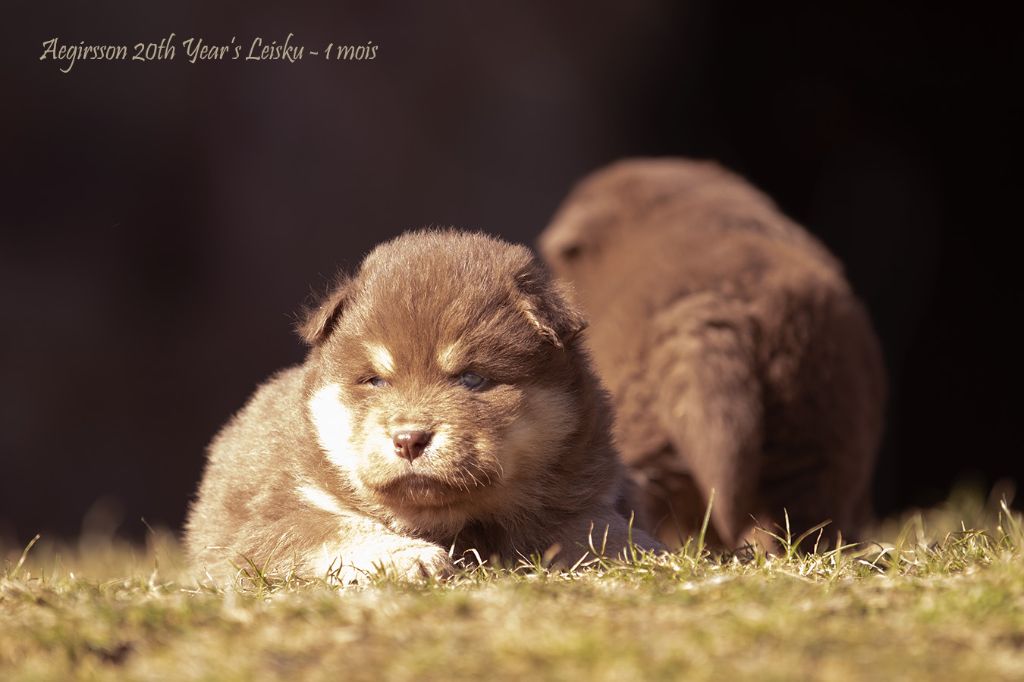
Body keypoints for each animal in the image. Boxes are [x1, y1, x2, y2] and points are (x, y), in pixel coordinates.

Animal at [185, 229, 659, 583]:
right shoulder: (266, 524)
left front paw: (644, 550)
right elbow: (333, 528)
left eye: (472, 378)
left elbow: (597, 525)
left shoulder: (578, 494)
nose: (409, 439)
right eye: (375, 380)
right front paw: (407, 556)